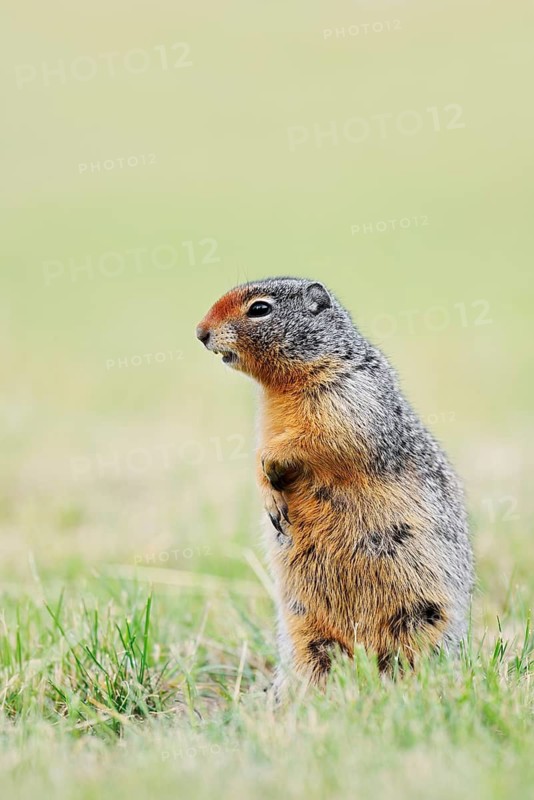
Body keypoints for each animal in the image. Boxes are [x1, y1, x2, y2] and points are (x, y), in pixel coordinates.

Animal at [196, 277, 474, 693]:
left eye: (259, 309)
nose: (200, 333)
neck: (282, 387)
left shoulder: (349, 393)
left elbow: (325, 437)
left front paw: (276, 460)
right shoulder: (266, 423)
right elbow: (262, 454)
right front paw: (270, 497)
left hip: (424, 615)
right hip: (305, 630)